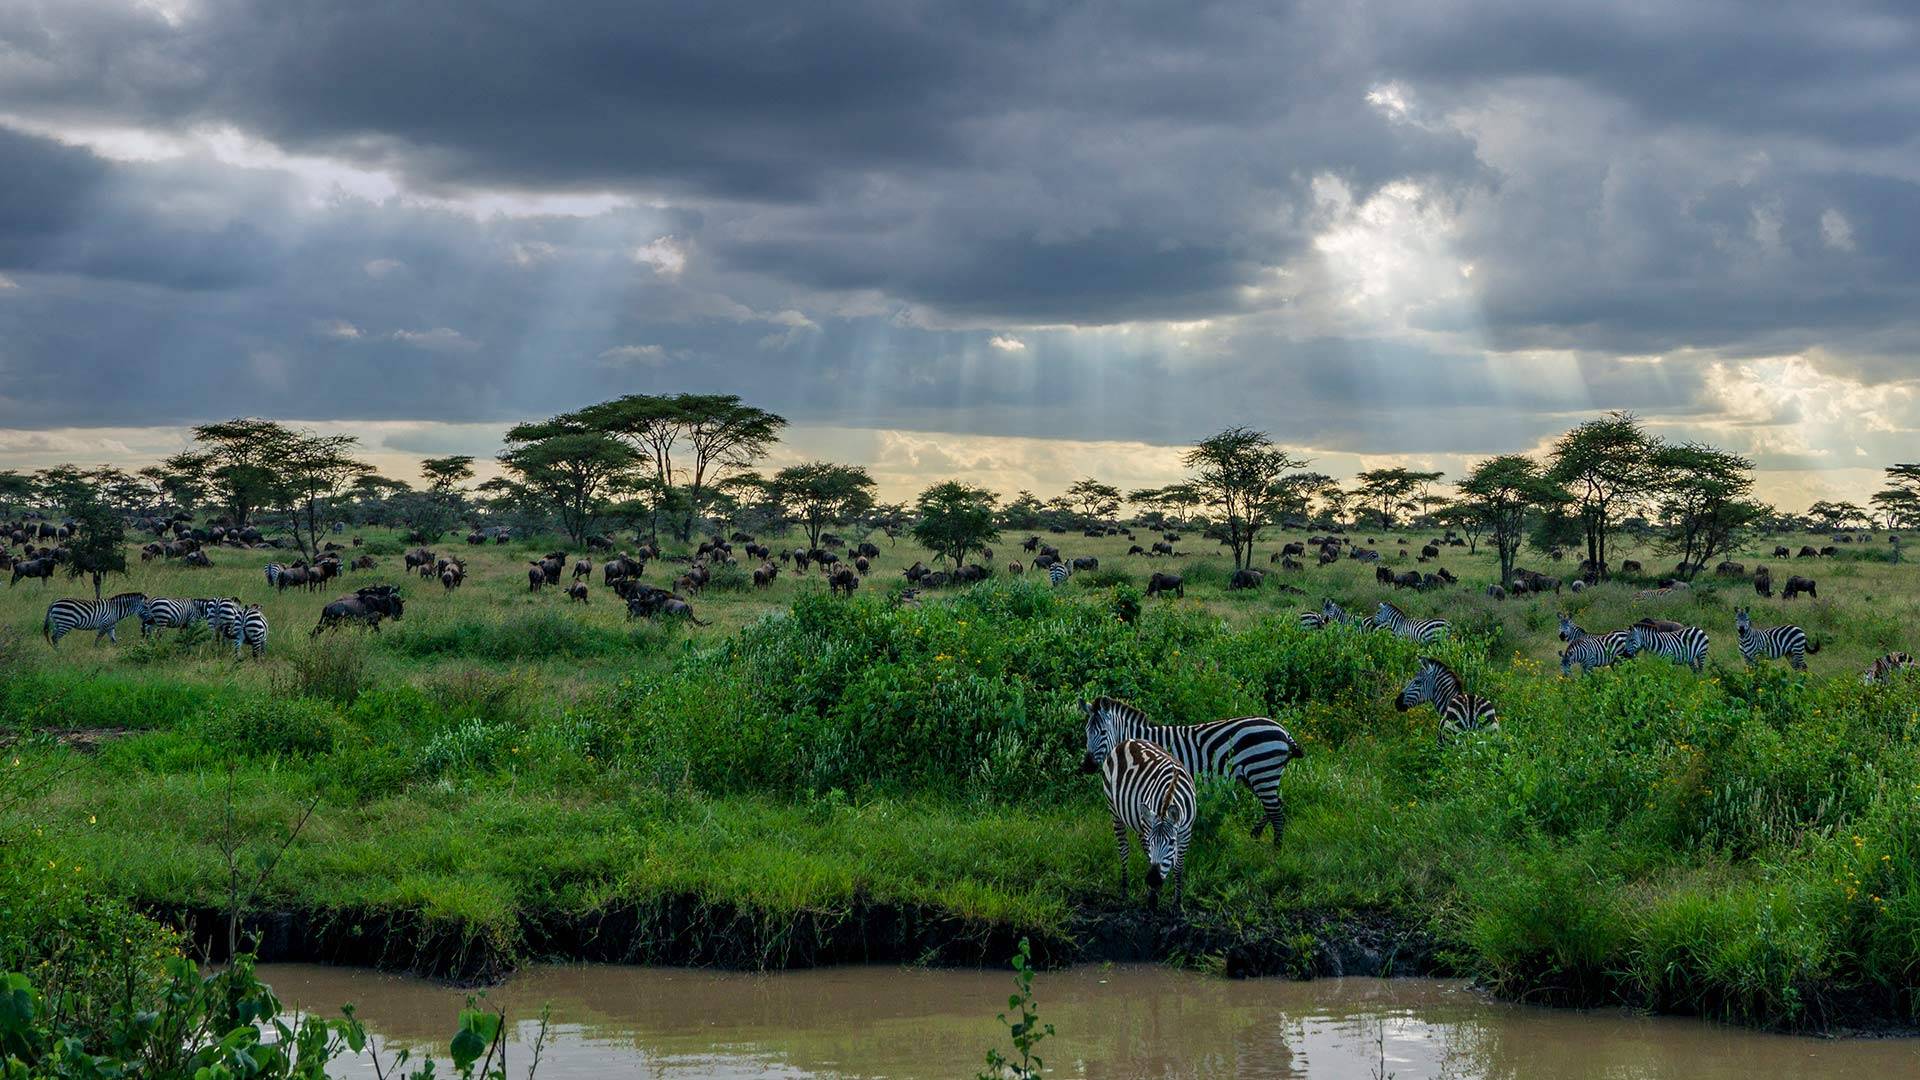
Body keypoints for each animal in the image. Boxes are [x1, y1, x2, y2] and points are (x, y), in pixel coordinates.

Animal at [1082, 691, 1305, 845]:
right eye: (1086, 731)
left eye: (1102, 732)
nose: (1087, 766)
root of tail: (1283, 731)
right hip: (1258, 776)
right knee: (1276, 805)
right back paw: (1256, 834)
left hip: (1262, 772)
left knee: (1276, 812)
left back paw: (1276, 850)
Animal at [1105, 730, 1190, 907]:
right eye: (1152, 841)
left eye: (1172, 842)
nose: (1152, 880)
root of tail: (1127, 741)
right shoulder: (1149, 831)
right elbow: (1150, 856)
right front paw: (1153, 898)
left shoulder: (1186, 833)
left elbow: (1178, 867)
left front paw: (1178, 902)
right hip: (1114, 809)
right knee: (1123, 848)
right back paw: (1124, 889)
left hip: (1140, 819)